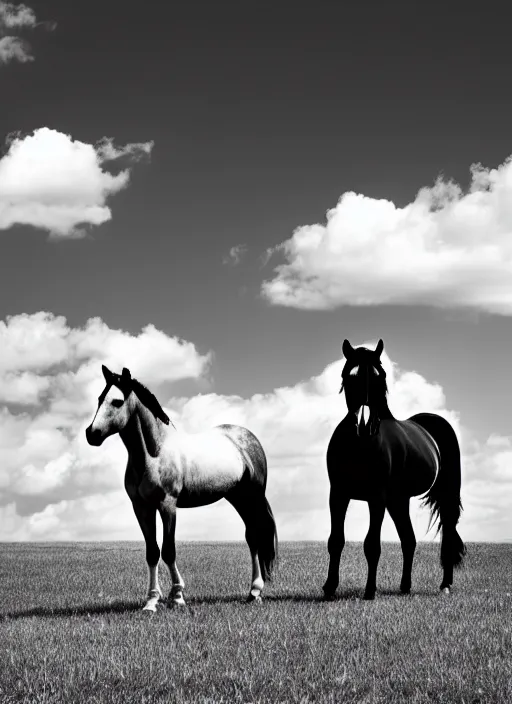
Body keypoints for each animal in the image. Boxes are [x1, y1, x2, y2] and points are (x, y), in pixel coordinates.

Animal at [85, 366, 276, 612]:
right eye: (100, 399)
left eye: (117, 401)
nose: (92, 434)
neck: (154, 453)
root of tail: (247, 438)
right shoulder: (142, 508)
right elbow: (152, 552)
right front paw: (151, 601)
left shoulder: (168, 505)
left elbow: (168, 550)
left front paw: (177, 596)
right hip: (237, 497)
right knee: (252, 536)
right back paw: (253, 592)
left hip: (253, 497)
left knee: (256, 535)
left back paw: (256, 590)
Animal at [324, 340, 464, 600]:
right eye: (349, 376)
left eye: (381, 376)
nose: (365, 424)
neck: (360, 446)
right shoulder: (338, 494)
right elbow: (336, 540)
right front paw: (329, 587)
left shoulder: (376, 498)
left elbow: (372, 544)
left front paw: (370, 591)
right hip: (398, 500)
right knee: (409, 540)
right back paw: (405, 586)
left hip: (440, 496)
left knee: (447, 533)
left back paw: (445, 585)